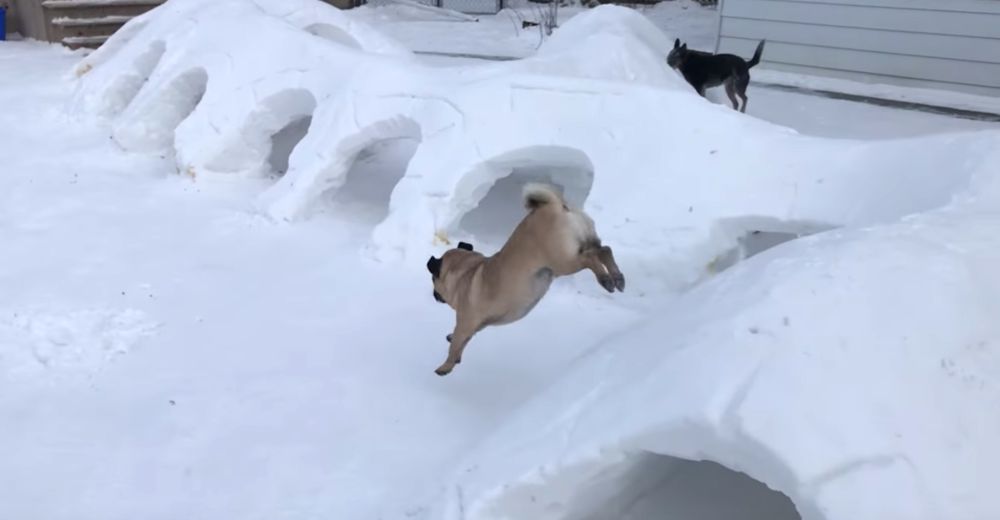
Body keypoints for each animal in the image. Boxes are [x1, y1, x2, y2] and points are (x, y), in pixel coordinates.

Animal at [424, 185, 624, 376]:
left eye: (433, 280)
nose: (434, 294)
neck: (466, 271)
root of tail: (555, 206)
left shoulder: (465, 323)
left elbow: (455, 345)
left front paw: (445, 366)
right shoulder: (473, 326)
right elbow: (460, 343)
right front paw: (454, 353)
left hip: (563, 261)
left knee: (591, 258)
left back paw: (605, 279)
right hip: (585, 244)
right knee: (604, 250)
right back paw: (617, 278)